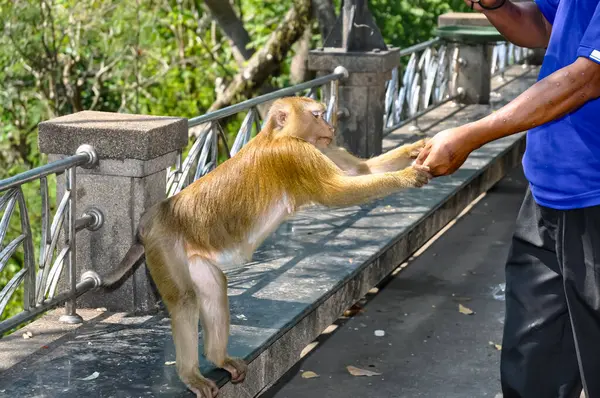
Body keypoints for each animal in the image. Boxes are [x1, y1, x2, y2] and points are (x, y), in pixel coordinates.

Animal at [101, 97, 428, 398]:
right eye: (317, 115)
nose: (331, 128)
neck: (278, 135)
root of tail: (150, 220)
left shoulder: (317, 148)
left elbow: (361, 170)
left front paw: (416, 149)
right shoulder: (296, 154)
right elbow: (339, 191)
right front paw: (407, 175)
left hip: (192, 255)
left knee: (213, 285)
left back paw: (218, 357)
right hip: (165, 247)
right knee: (184, 300)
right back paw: (190, 374)